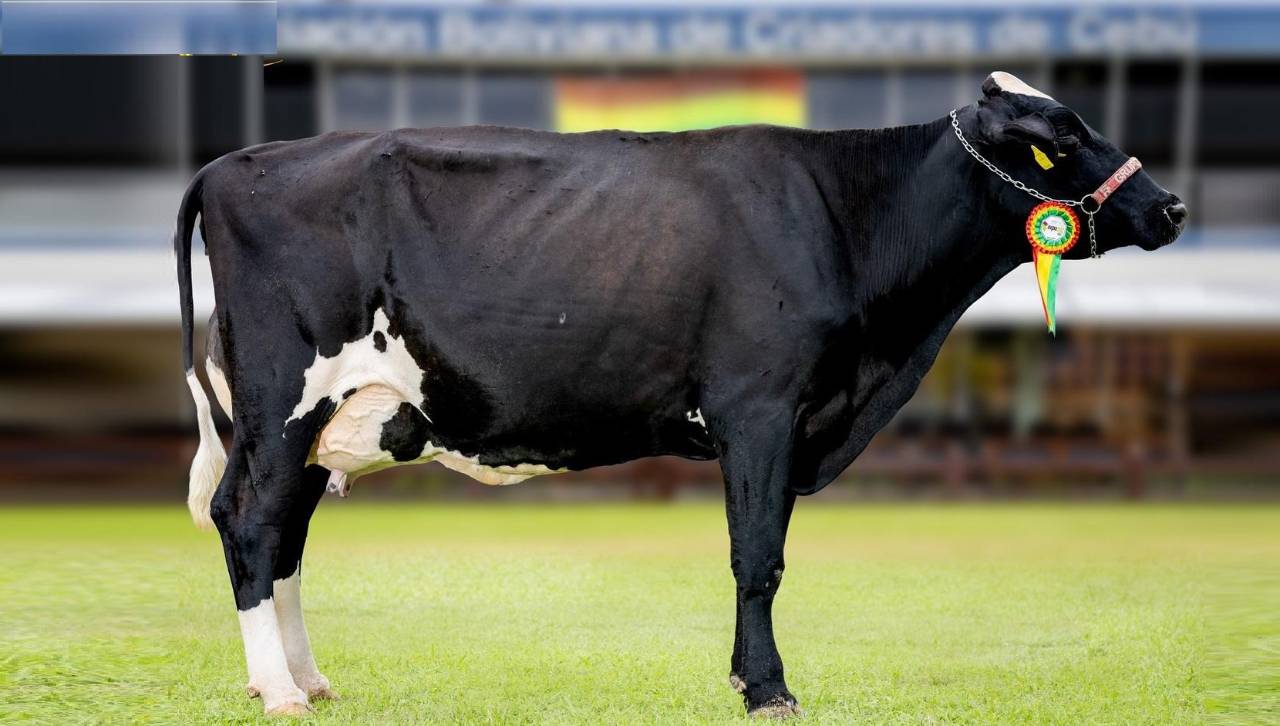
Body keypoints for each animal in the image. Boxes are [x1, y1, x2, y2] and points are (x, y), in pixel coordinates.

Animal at [175, 72, 1186, 717]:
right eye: (1062, 137)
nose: (1172, 206)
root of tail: (230, 164)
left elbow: (759, 556)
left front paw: (748, 680)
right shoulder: (762, 410)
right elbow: (759, 559)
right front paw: (769, 690)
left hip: (321, 423)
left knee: (283, 535)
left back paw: (307, 682)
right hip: (283, 404)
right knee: (250, 523)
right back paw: (278, 693)